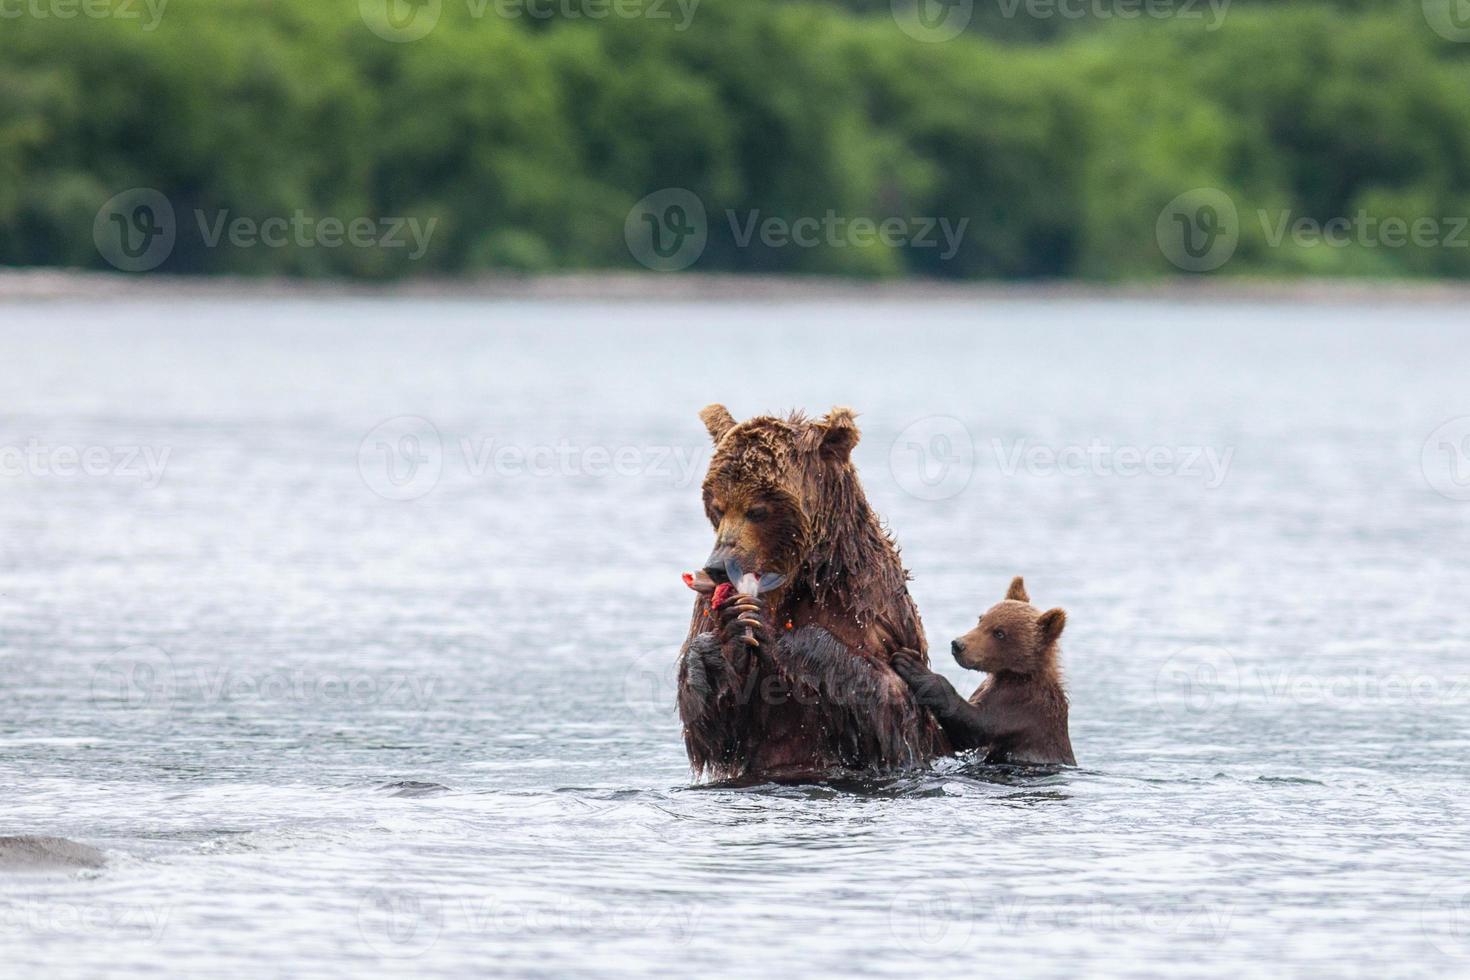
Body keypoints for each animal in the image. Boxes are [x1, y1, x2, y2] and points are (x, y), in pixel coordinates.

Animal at [673, 405, 946, 781]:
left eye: (757, 509)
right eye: (717, 506)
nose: (717, 567)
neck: (796, 580)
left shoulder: (871, 607)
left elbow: (893, 705)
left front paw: (772, 630)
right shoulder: (705, 606)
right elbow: (714, 728)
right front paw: (726, 636)